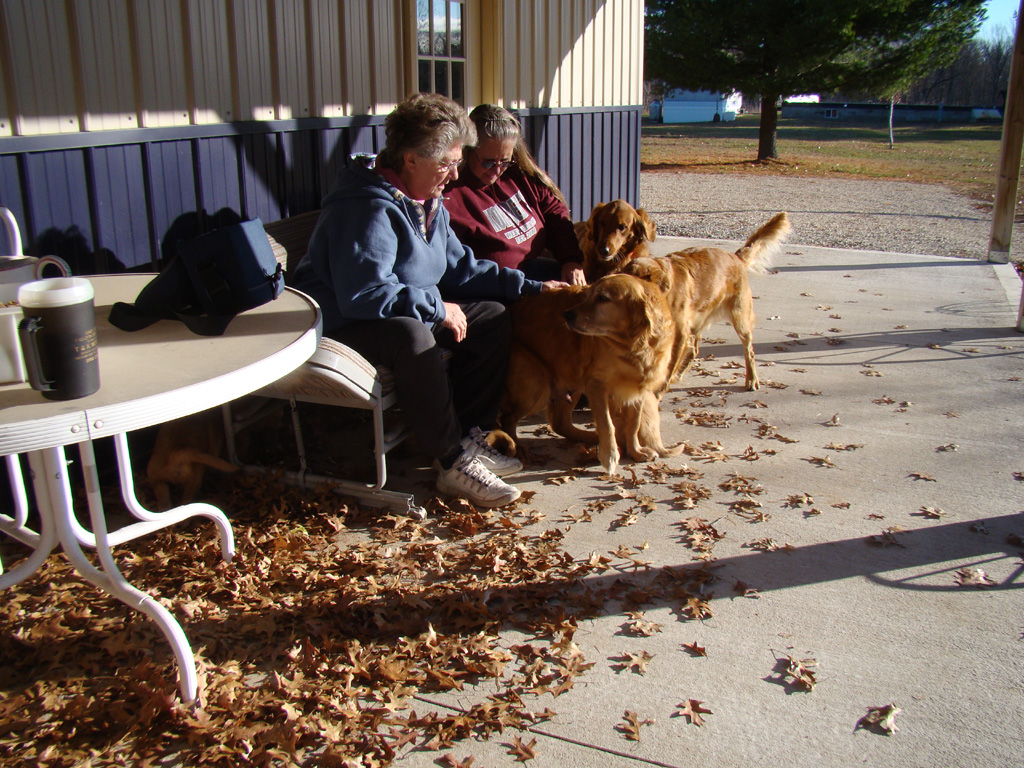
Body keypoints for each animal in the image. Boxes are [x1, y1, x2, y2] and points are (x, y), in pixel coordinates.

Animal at [497, 274, 679, 473]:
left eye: (602, 298)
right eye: (588, 295)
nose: (566, 315)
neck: (633, 346)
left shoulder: (638, 389)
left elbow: (633, 424)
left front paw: (636, 451)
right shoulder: (596, 385)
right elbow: (607, 424)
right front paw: (610, 456)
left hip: (571, 379)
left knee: (560, 424)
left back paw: (591, 437)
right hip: (537, 381)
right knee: (507, 419)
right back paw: (518, 446)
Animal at [614, 210, 790, 391]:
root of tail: (736, 258)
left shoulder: (679, 333)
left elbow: (668, 363)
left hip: (740, 318)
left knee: (749, 351)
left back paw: (751, 379)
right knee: (694, 349)